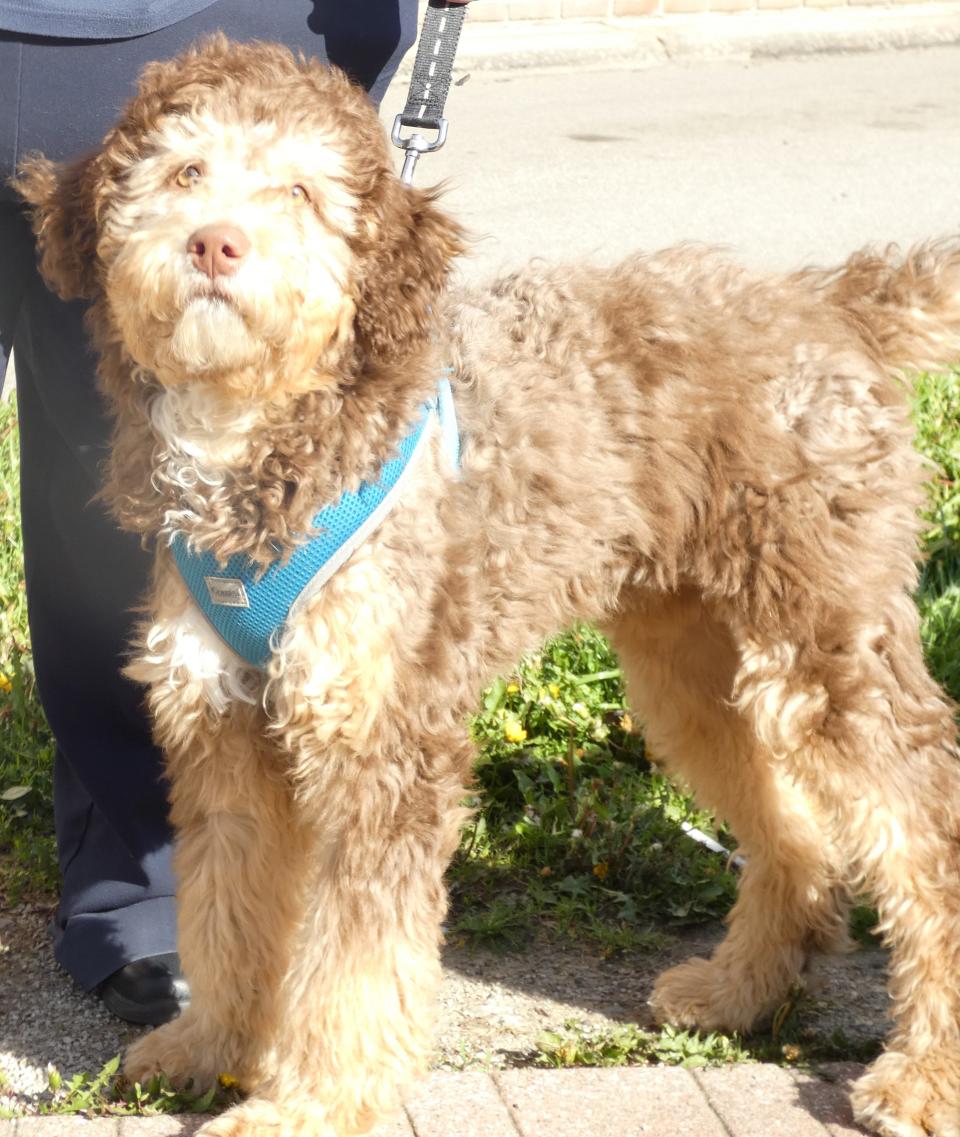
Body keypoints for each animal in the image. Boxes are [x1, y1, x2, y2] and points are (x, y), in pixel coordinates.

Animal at [16, 33, 960, 1137]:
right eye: (183, 173)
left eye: (299, 191)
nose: (214, 245)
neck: (268, 439)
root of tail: (827, 298)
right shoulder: (224, 729)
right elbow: (226, 909)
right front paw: (208, 1046)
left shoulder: (381, 747)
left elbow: (351, 964)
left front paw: (311, 1102)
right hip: (697, 668)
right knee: (796, 828)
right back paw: (741, 990)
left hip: (826, 645)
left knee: (928, 833)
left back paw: (925, 1072)